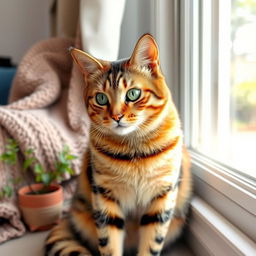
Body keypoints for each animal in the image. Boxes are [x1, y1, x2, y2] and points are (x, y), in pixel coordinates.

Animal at [44, 34, 192, 256]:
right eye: (101, 98)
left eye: (133, 94)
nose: (116, 117)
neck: (135, 149)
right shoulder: (105, 197)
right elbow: (109, 243)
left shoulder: (162, 196)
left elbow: (151, 244)